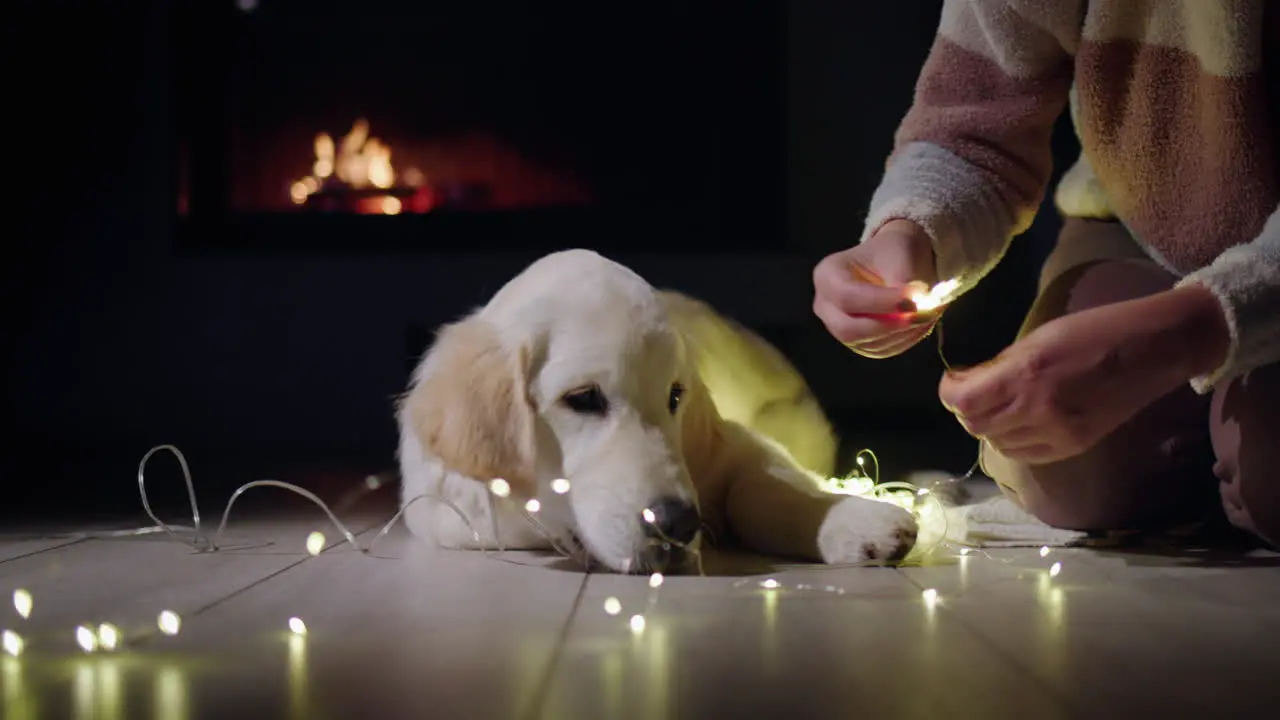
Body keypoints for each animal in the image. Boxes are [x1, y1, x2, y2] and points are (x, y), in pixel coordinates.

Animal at [394, 251, 916, 571]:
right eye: (582, 398)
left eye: (675, 397)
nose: (678, 525)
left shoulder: (735, 444)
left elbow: (760, 491)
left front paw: (856, 523)